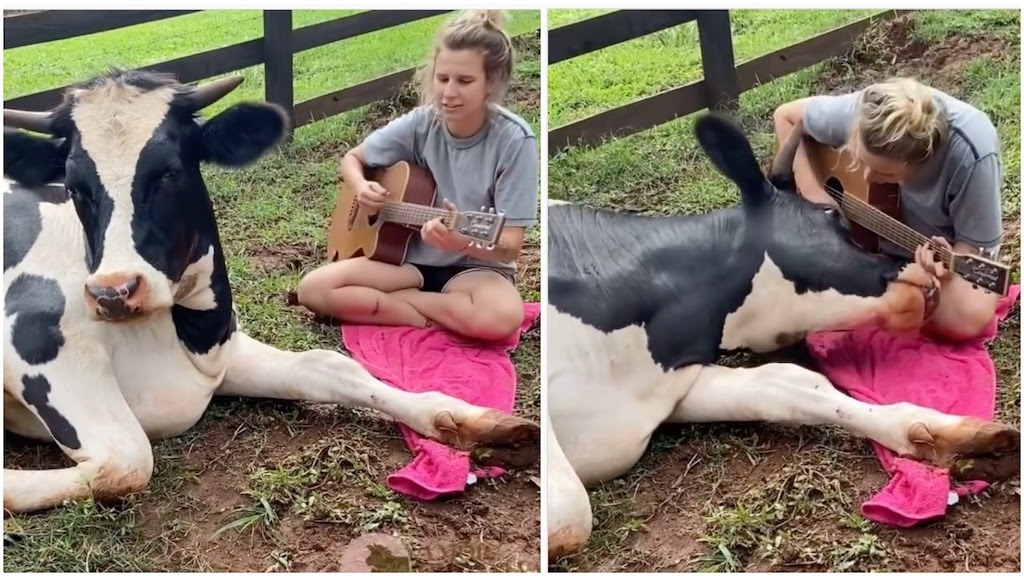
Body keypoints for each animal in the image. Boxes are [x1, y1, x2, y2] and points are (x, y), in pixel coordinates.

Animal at [2, 69, 544, 512]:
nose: (114, 292)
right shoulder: (36, 337)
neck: (181, 335)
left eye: (170, 170)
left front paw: (474, 423)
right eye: (75, 186)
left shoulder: (224, 353)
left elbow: (327, 368)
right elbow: (127, 461)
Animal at [544, 112, 1015, 561]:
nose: (920, 271)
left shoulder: (671, 382)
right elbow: (570, 515)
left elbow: (784, 383)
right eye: (834, 218)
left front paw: (949, 437)